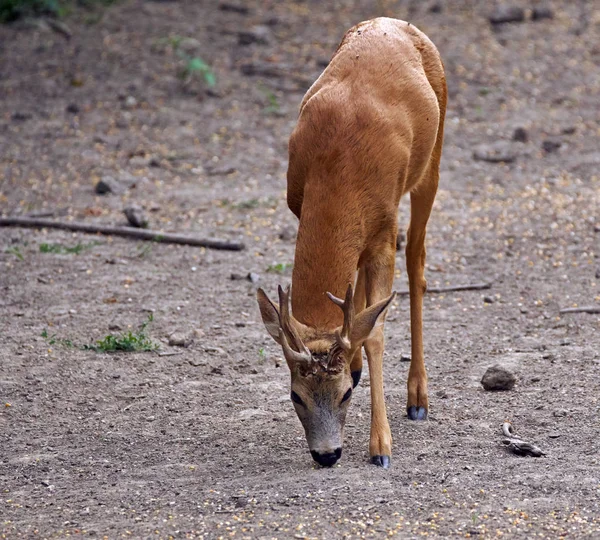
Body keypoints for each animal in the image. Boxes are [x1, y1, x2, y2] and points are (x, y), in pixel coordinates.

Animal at [256, 16, 446, 468]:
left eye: (343, 395)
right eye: (296, 396)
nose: (327, 455)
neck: (337, 167)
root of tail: (395, 22)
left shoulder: (384, 228)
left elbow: (377, 331)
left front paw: (381, 447)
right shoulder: (300, 203)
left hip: (432, 158)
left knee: (417, 260)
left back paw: (418, 397)